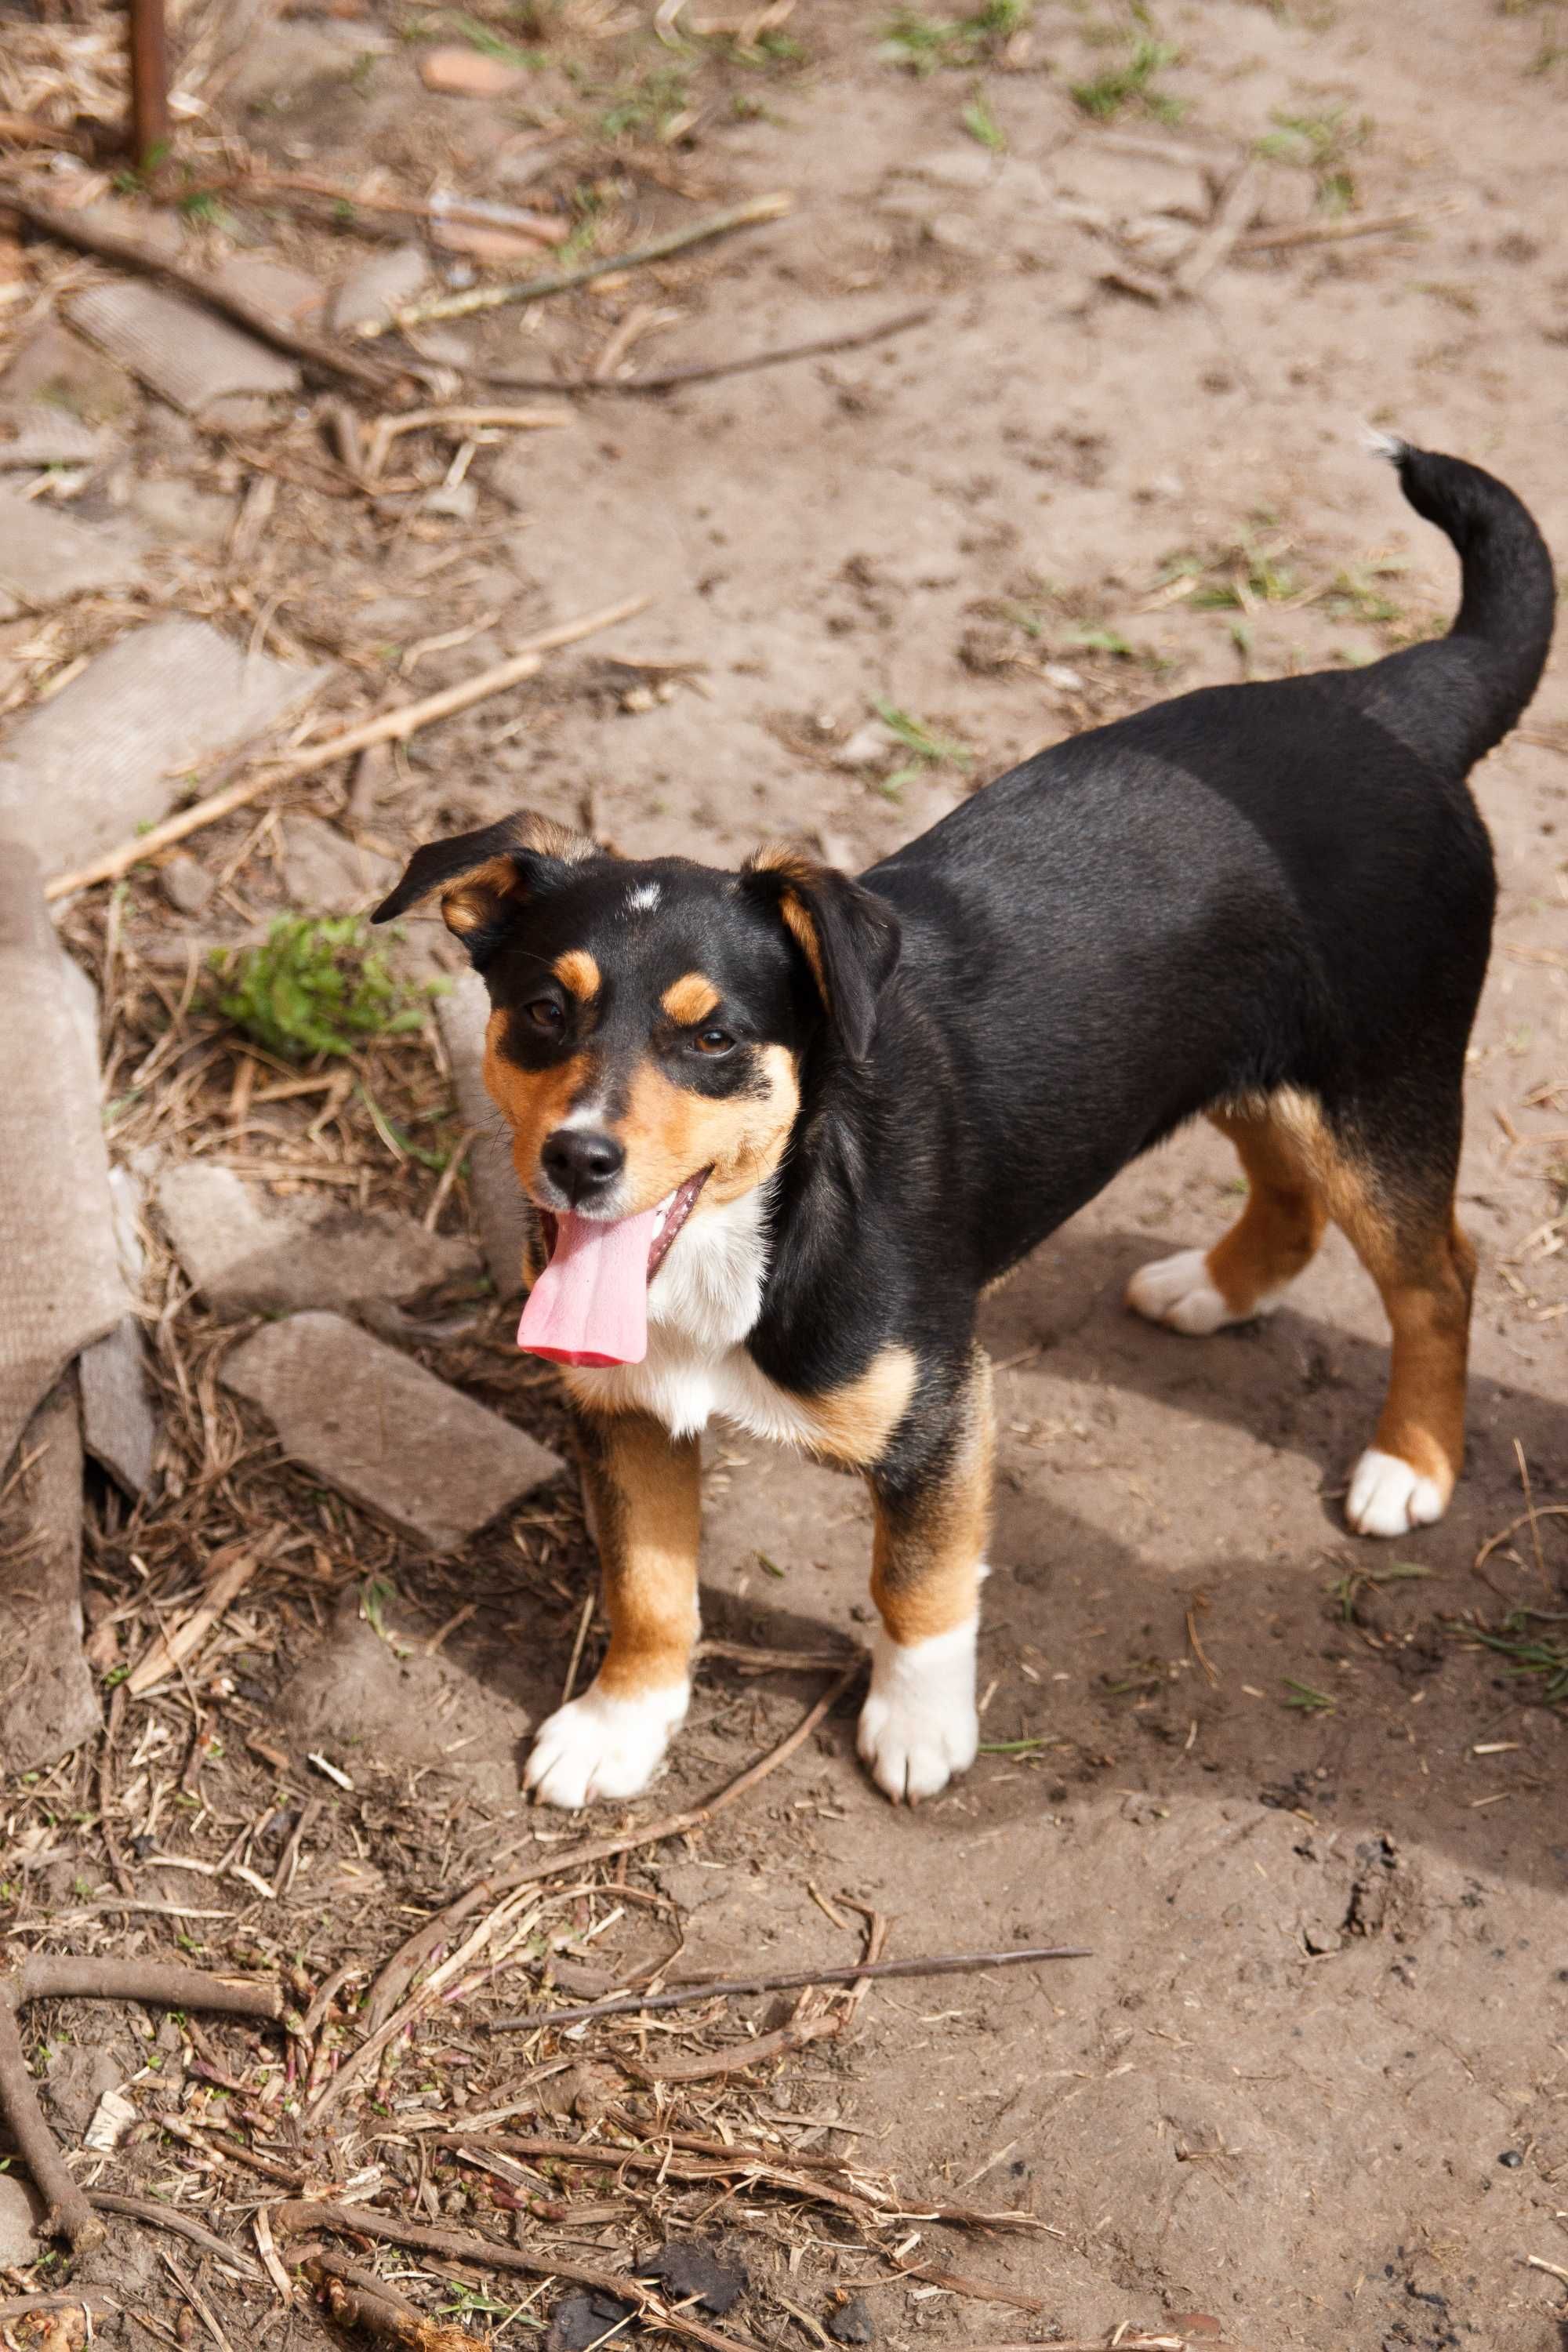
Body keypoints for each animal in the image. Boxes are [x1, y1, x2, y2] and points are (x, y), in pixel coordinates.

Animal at [371, 445, 1561, 1797]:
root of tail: (1387, 703)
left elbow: (919, 1581)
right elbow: (652, 1585)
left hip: (1382, 1094)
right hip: (1248, 1071)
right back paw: (1216, 1288)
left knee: (1438, 1276)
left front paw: (919, 1729)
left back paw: (1408, 1464)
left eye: (714, 1038)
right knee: (1291, 1191)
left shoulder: (941, 1411)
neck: (764, 1230)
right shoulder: (624, 1418)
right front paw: (622, 1722)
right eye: (540, 1012)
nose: (579, 1160)